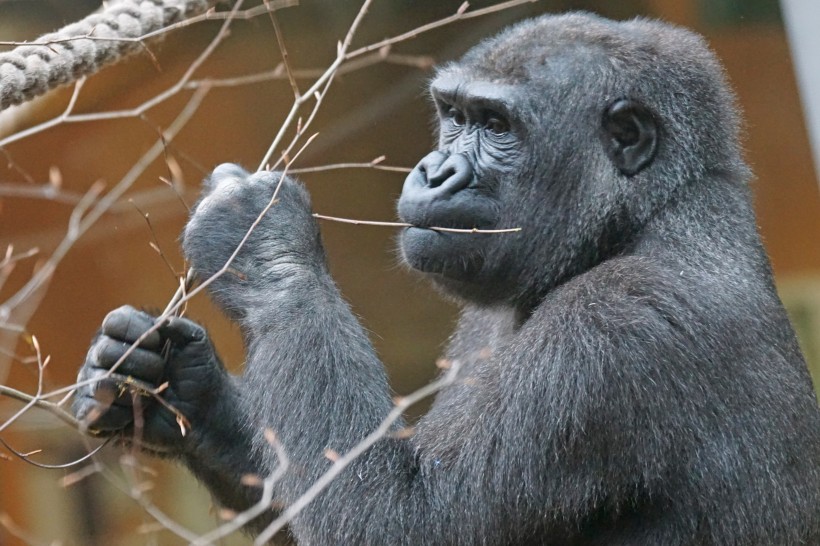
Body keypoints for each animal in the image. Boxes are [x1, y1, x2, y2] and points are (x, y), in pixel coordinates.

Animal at [73, 12, 820, 544]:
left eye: (496, 125)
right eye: (454, 116)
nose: (435, 172)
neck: (645, 216)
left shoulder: (621, 323)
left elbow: (398, 519)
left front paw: (260, 238)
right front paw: (183, 389)